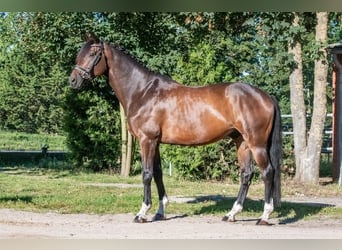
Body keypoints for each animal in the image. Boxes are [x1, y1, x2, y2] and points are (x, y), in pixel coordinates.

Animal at [69, 34, 284, 226]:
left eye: (93, 53)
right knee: (246, 174)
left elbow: (146, 174)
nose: (73, 81)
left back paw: (264, 216)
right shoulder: (155, 142)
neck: (142, 91)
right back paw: (232, 214)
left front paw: (142, 213)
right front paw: (160, 211)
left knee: (267, 172)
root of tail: (265, 95)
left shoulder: (147, 140)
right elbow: (157, 173)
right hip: (242, 142)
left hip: (256, 144)